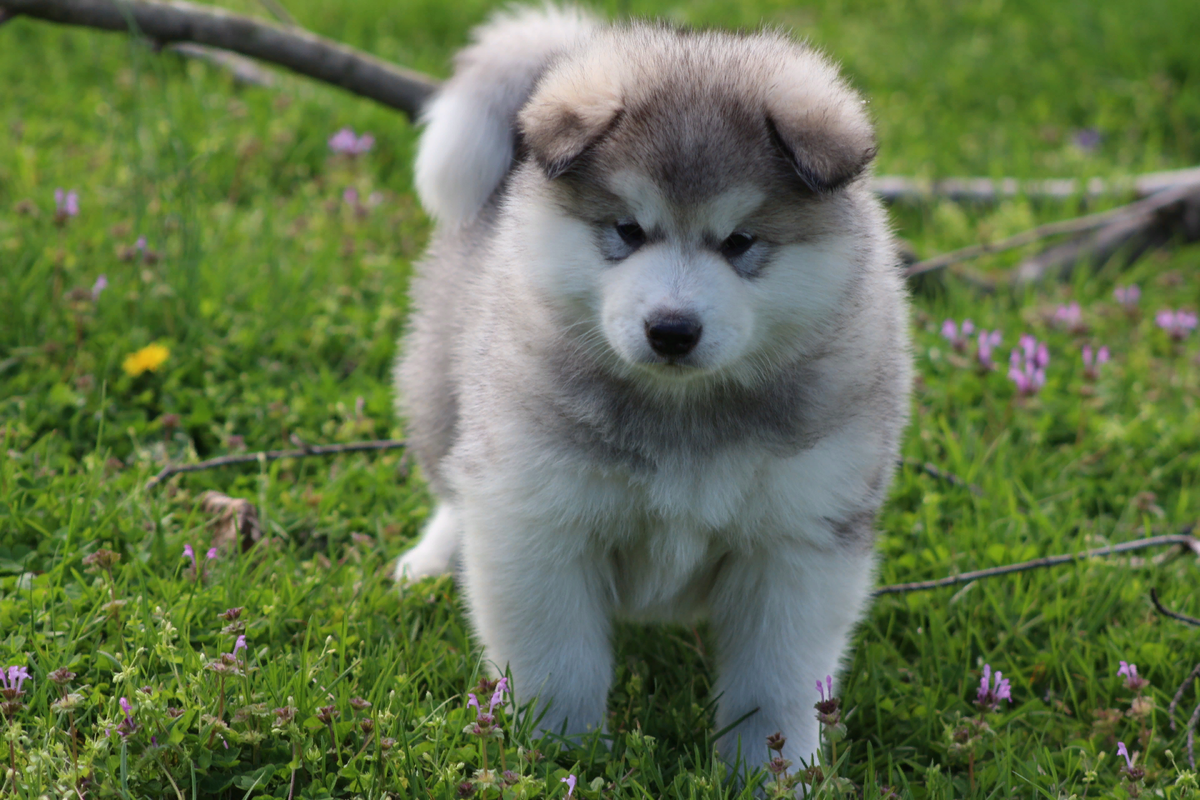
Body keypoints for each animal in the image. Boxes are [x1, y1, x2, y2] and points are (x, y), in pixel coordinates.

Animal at [393, 3, 907, 772]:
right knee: (456, 487)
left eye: (739, 242)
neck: (682, 411)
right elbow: (559, 665)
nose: (671, 329)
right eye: (628, 230)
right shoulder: (538, 522)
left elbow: (776, 682)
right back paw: (429, 562)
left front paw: (772, 770)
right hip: (446, 396)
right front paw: (564, 757)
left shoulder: (798, 540)